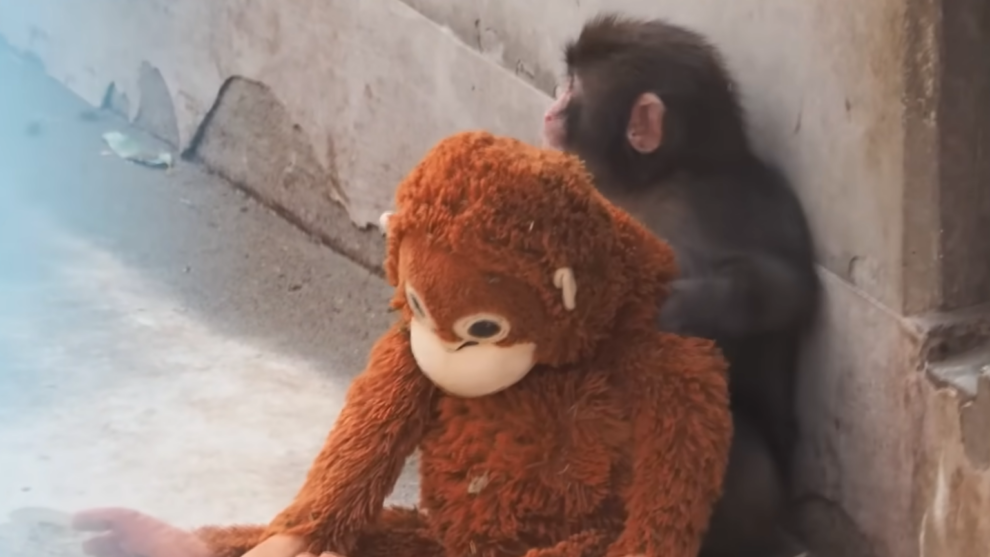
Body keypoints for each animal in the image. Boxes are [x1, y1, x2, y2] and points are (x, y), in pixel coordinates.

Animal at [542, 14, 821, 557]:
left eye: (574, 87)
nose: (554, 101)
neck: (651, 179)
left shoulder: (734, 200)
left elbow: (783, 286)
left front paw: (671, 308)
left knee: (738, 457)